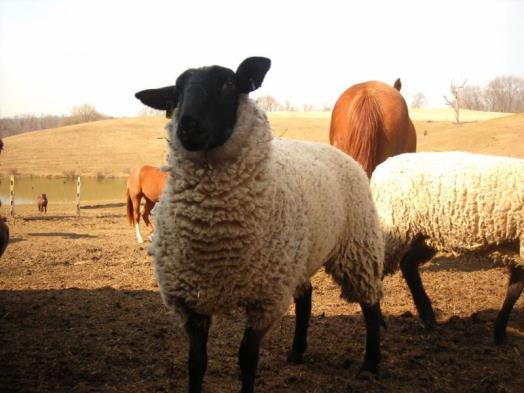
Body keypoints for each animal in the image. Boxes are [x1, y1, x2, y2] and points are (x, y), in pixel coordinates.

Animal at [136, 56, 384, 392]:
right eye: (176, 92)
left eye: (228, 84)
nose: (188, 125)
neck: (214, 231)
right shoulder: (191, 303)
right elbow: (196, 362)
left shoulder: (264, 300)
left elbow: (247, 359)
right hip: (298, 258)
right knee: (305, 296)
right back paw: (297, 352)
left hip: (357, 246)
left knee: (370, 303)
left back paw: (370, 363)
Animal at [370, 152, 520, 342]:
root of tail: (382, 167)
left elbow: (514, 291)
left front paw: (499, 332)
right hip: (395, 226)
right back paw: (379, 320)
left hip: (426, 235)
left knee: (408, 264)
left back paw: (428, 317)